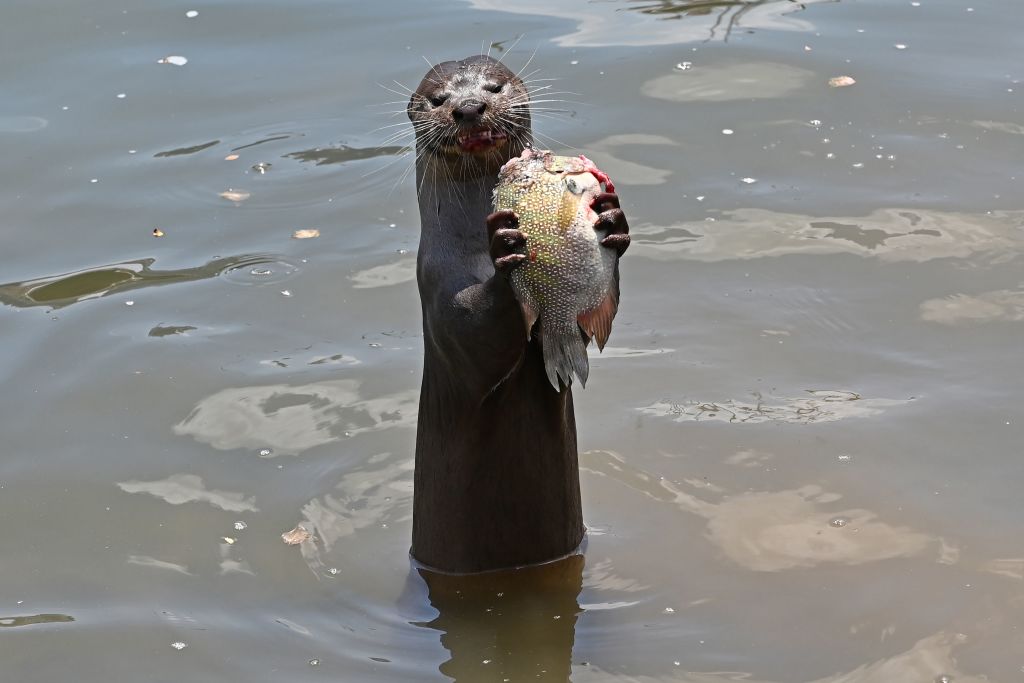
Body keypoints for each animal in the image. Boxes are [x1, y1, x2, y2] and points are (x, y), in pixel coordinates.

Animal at [407, 55, 629, 573]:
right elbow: (480, 338)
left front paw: (613, 219)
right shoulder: (437, 289)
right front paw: (507, 244)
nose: (469, 107)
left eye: (493, 86)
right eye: (438, 98)